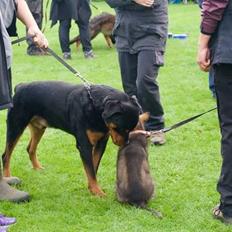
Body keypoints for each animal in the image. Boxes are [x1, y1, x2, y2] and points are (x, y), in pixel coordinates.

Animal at [1, 81, 140, 196]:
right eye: (121, 128)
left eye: (131, 129)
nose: (126, 143)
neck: (94, 106)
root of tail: (20, 86)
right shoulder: (84, 145)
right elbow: (90, 169)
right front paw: (97, 192)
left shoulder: (101, 143)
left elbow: (93, 167)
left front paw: (91, 188)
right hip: (16, 125)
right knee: (6, 155)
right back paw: (8, 177)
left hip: (38, 127)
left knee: (30, 148)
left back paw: (37, 168)